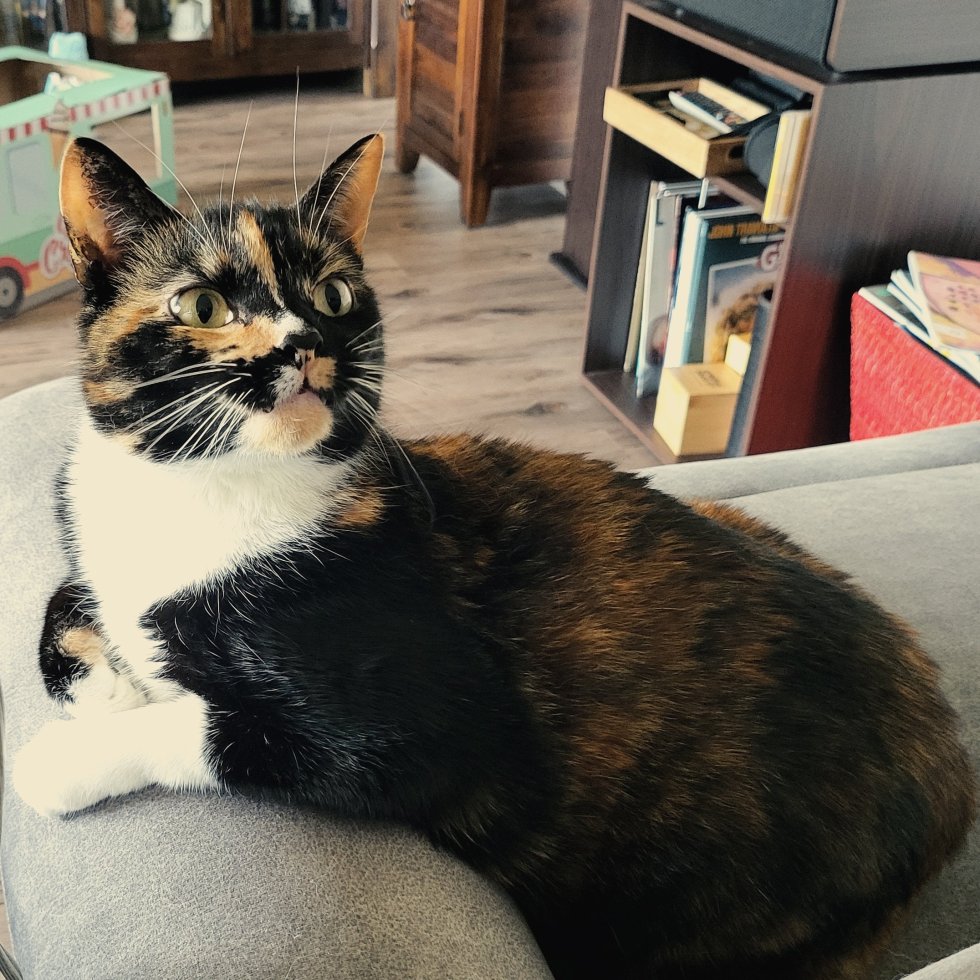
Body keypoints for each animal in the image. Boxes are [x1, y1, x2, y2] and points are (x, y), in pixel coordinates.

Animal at [12, 134, 976, 980]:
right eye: (202, 306)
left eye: (333, 296)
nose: (306, 345)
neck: (202, 488)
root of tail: (952, 768)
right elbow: (63, 601)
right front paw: (104, 682)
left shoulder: (429, 725)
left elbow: (211, 727)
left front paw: (65, 756)